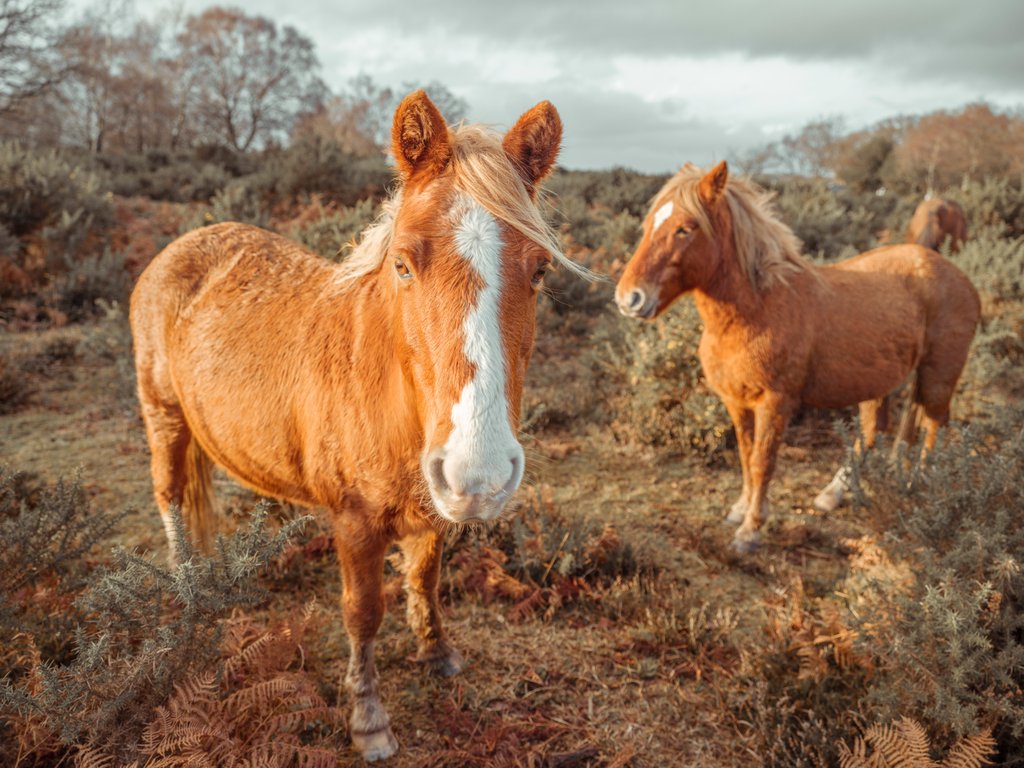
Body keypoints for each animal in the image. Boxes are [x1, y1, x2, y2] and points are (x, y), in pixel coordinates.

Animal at [130, 90, 578, 761]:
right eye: (403, 264)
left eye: (541, 270)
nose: (479, 474)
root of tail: (183, 244)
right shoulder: (354, 522)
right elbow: (362, 613)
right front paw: (368, 719)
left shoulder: (431, 509)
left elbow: (425, 578)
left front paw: (438, 653)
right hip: (163, 416)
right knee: (170, 497)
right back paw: (187, 584)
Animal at [614, 162, 980, 554]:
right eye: (648, 225)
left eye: (685, 228)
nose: (629, 298)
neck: (756, 310)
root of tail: (957, 274)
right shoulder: (736, 402)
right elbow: (745, 456)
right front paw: (740, 509)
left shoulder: (775, 404)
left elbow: (762, 462)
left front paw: (750, 530)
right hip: (881, 382)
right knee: (875, 430)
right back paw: (834, 493)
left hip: (939, 374)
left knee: (933, 424)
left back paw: (924, 485)